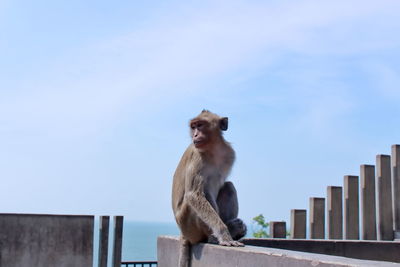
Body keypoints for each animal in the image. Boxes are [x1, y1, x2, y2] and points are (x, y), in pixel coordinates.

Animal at [172, 110, 247, 266]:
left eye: (200, 125)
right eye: (193, 126)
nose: (195, 135)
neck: (213, 148)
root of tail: (183, 234)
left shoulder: (230, 154)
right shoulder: (197, 156)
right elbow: (195, 195)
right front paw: (224, 235)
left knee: (228, 186)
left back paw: (234, 229)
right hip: (189, 227)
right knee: (195, 201)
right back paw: (215, 237)